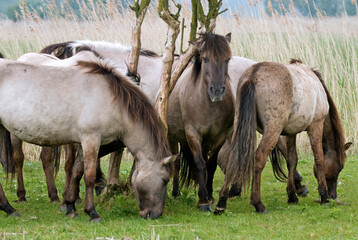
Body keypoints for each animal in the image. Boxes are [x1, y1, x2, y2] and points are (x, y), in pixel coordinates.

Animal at [0, 57, 173, 220]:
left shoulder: (86, 142)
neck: (112, 100)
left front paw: (70, 206)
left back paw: (9, 208)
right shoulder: (91, 139)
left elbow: (77, 171)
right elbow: (89, 176)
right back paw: (9, 207)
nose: (155, 214)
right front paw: (92, 212)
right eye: (165, 180)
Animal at [214, 59, 352, 214]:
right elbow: (319, 160)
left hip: (240, 125)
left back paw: (222, 202)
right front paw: (323, 196)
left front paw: (292, 195)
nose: (333, 195)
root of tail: (253, 75)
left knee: (233, 156)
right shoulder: (316, 126)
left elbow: (292, 160)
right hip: (272, 130)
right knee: (259, 158)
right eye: (340, 167)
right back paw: (258, 204)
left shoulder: (291, 132)